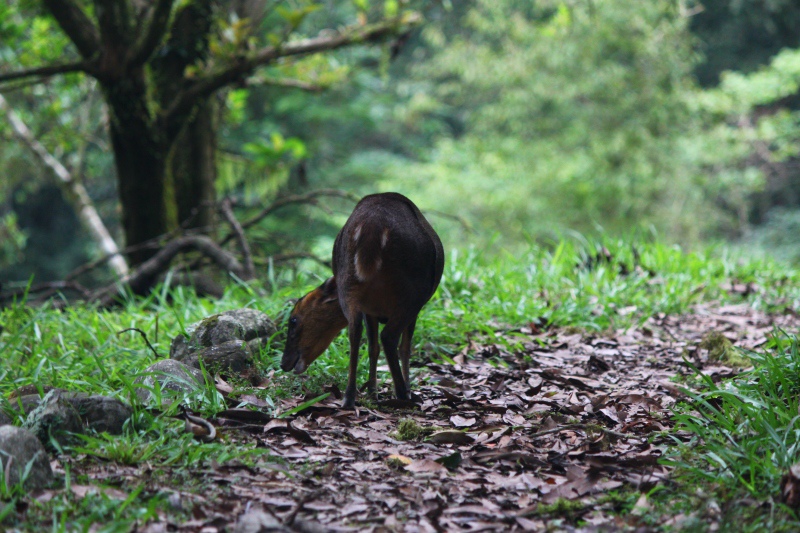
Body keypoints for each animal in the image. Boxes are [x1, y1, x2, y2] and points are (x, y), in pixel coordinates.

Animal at [280, 191, 444, 408]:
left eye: (293, 320)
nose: (283, 363)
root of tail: (372, 228)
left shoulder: (370, 309)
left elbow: (373, 348)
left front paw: (372, 392)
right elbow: (404, 348)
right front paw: (398, 389)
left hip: (349, 285)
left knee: (355, 333)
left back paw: (350, 397)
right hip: (412, 293)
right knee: (388, 337)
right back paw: (402, 393)